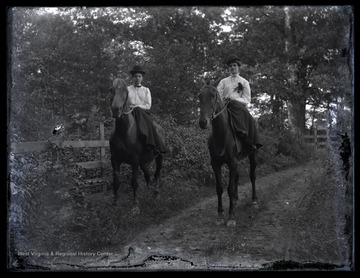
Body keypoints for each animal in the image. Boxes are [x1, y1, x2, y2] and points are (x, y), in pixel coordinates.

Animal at [109, 78, 166, 215]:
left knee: (157, 173)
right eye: (111, 90)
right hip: (143, 161)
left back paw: (156, 194)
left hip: (159, 157)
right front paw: (115, 204)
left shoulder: (134, 161)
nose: (116, 110)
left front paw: (135, 206)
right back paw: (148, 194)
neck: (124, 132)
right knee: (147, 175)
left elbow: (134, 183)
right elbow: (116, 182)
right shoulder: (115, 160)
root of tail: (159, 128)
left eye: (125, 91)